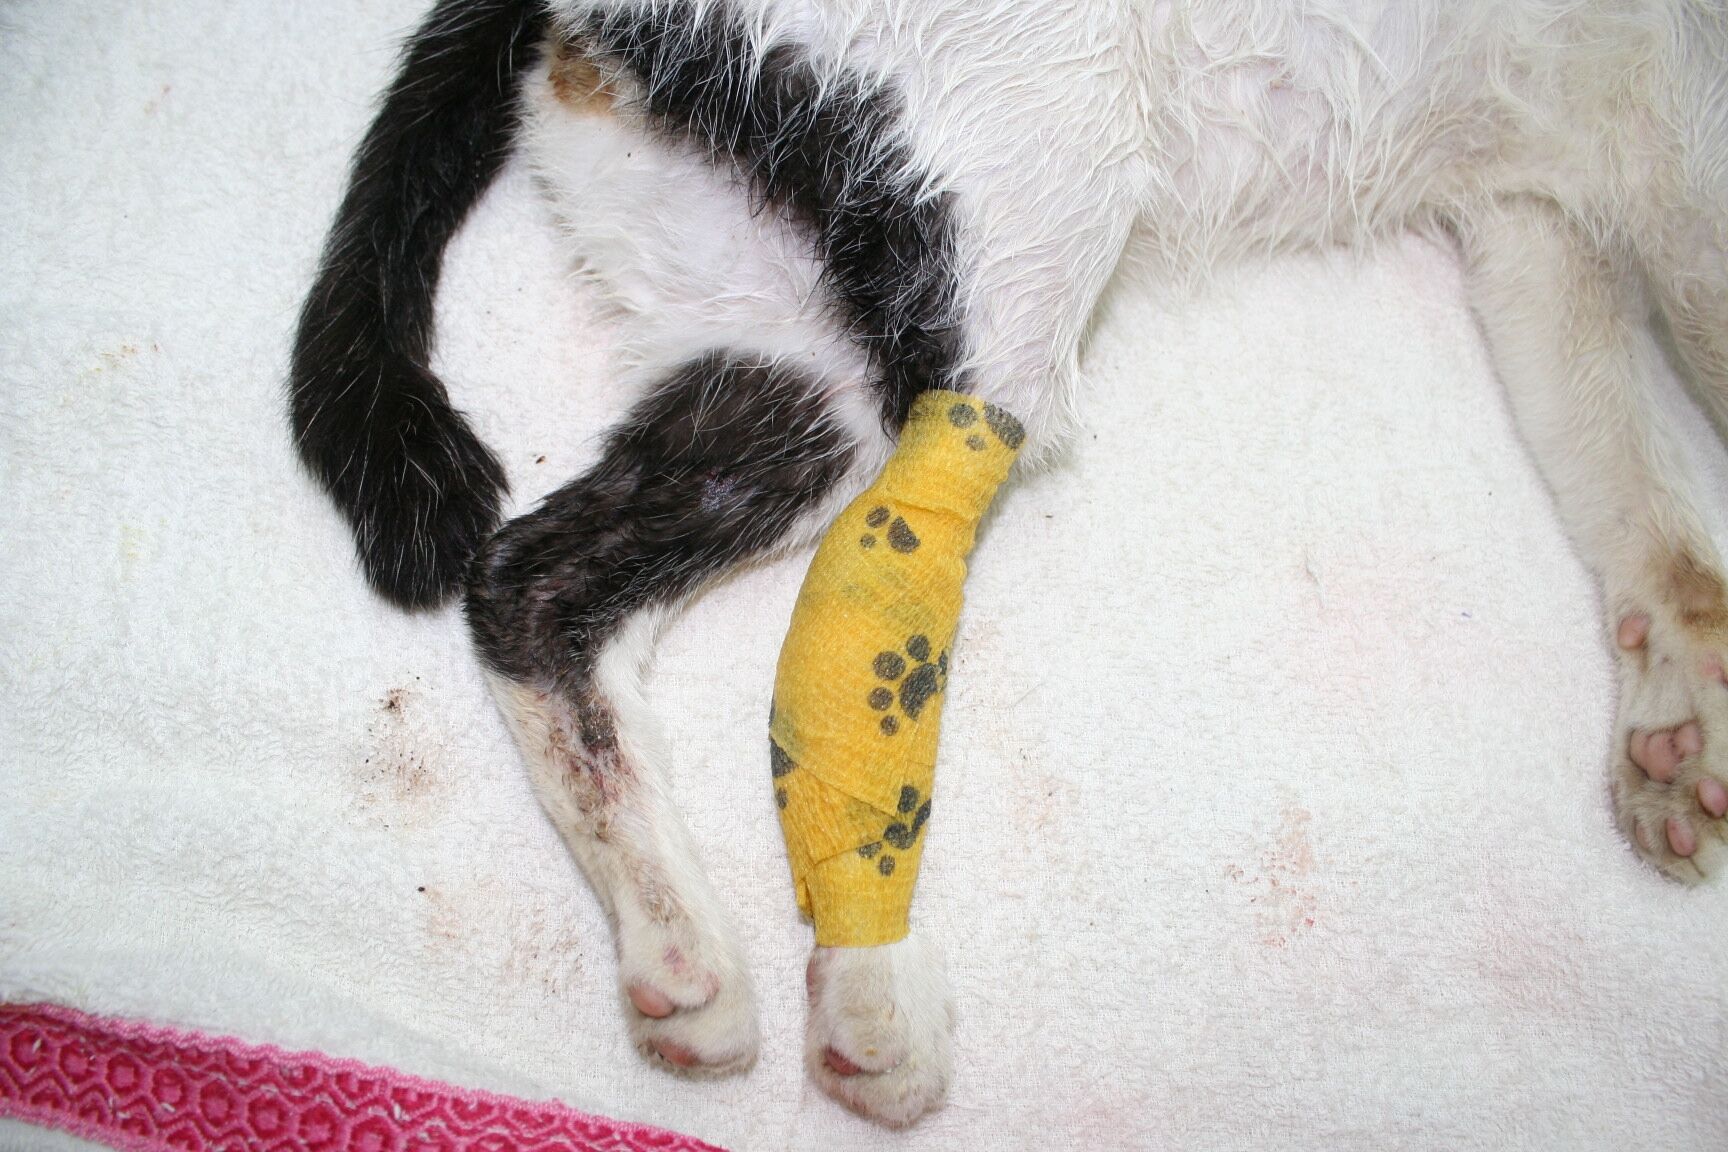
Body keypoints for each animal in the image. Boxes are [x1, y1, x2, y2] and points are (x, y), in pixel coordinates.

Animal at [289, 0, 1728, 1127]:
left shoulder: (1545, 219)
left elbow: (1633, 478)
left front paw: (1678, 721)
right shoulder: (1678, 173)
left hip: (787, 343)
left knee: (531, 579)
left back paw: (682, 957)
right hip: (1016, 208)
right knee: (874, 557)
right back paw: (866, 979)